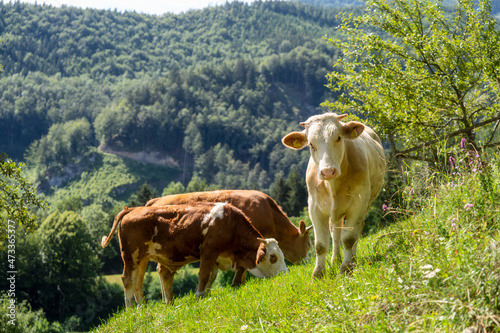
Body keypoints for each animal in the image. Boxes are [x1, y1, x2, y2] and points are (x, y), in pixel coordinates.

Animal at [100, 200, 288, 306]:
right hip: (131, 256)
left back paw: (143, 307)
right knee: (128, 280)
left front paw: (206, 294)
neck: (230, 224)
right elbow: (203, 275)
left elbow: (211, 276)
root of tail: (133, 209)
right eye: (273, 257)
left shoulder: (217, 256)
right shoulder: (209, 251)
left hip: (142, 258)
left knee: (138, 281)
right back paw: (132, 309)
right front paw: (199, 296)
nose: (285, 274)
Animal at [145, 189, 310, 288]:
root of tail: (156, 200)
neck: (269, 212)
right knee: (164, 272)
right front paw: (237, 284)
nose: (307, 263)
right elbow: (242, 268)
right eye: (308, 244)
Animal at [282, 113, 386, 276]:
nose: (328, 171)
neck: (332, 185)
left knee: (356, 231)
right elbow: (320, 245)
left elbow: (349, 238)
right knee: (335, 233)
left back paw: (352, 259)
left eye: (338, 137)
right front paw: (319, 273)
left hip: (365, 204)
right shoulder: (314, 208)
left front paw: (347, 268)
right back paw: (335, 260)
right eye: (311, 144)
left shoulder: (358, 204)